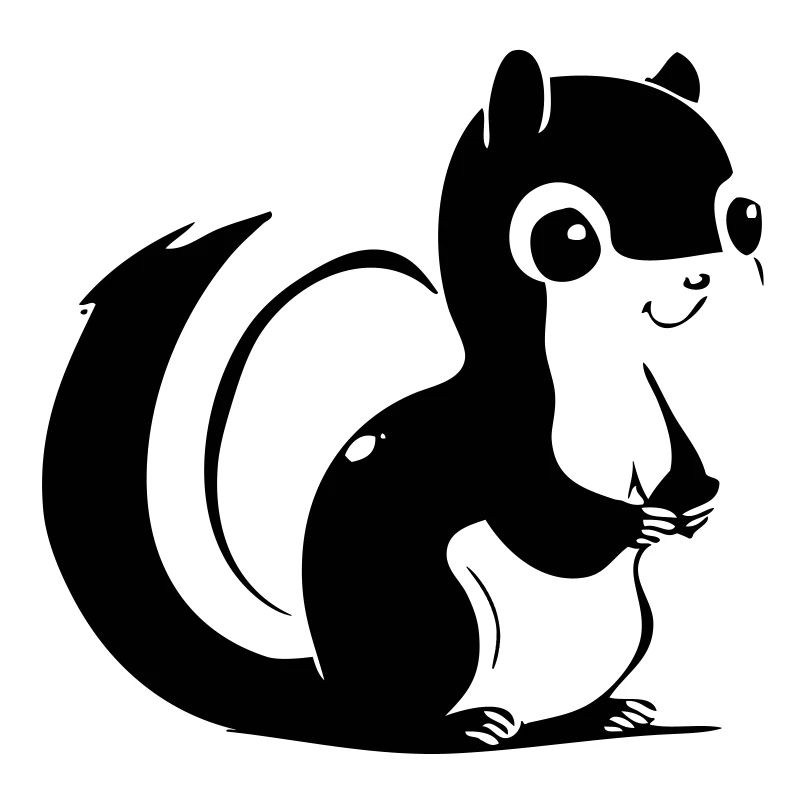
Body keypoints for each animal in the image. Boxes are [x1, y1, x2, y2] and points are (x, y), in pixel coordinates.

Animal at [43, 50, 763, 753]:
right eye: (570, 235)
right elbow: (548, 529)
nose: (697, 276)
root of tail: (331, 690)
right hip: (433, 617)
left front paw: (696, 504)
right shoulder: (499, 444)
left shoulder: (661, 416)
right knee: (400, 718)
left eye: (746, 218)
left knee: (554, 714)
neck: (600, 373)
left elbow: (682, 466)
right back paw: (466, 726)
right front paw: (638, 523)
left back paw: (604, 714)